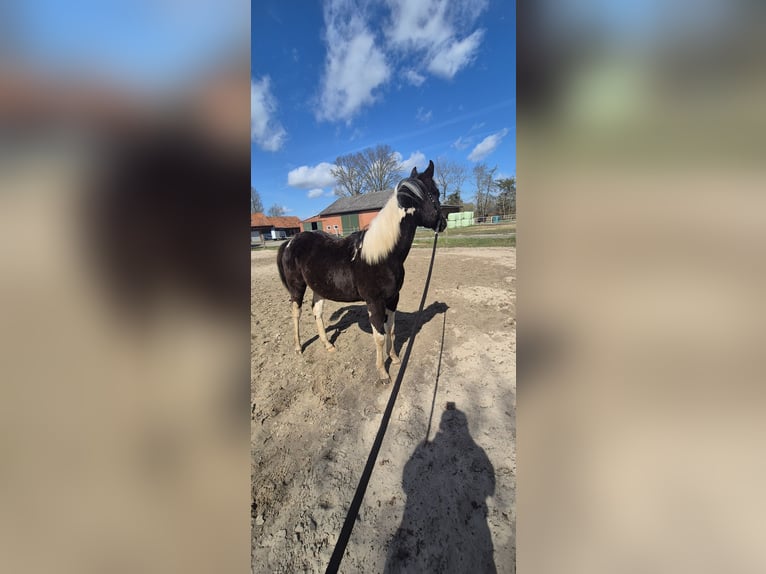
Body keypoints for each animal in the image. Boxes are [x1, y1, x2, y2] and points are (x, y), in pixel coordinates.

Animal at [276, 160, 447, 382]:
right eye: (435, 193)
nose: (443, 223)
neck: (382, 254)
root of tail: (290, 241)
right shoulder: (374, 302)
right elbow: (380, 337)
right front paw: (383, 372)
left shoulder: (393, 298)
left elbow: (391, 329)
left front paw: (395, 358)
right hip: (297, 287)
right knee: (296, 313)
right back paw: (298, 348)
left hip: (319, 287)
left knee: (317, 312)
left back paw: (328, 345)